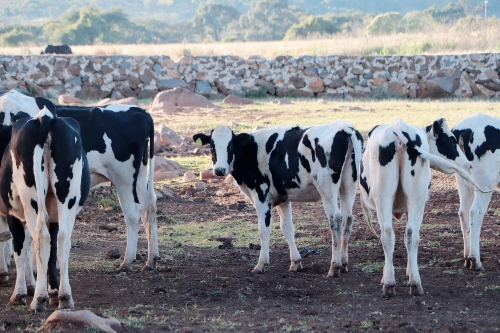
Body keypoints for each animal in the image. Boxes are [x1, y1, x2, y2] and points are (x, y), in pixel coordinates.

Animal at [0, 87, 157, 278]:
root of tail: (140, 112)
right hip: (140, 175)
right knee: (149, 207)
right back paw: (151, 260)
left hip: (123, 176)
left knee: (132, 213)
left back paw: (127, 261)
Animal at [0, 100, 90, 310]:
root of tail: (45, 118)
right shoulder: (53, 216)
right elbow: (49, 253)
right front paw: (53, 290)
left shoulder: (12, 213)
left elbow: (20, 250)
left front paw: (20, 292)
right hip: (66, 199)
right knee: (62, 240)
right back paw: (64, 296)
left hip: (32, 201)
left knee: (40, 237)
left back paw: (38, 299)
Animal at [362, 118, 482, 296]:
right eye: (451, 141)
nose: (468, 164)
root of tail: (400, 128)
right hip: (410, 198)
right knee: (405, 234)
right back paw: (410, 282)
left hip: (387, 197)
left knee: (391, 234)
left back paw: (392, 283)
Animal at [454, 113, 500, 272]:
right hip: (484, 183)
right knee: (475, 212)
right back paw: (476, 261)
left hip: (463, 181)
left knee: (463, 212)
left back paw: (467, 258)